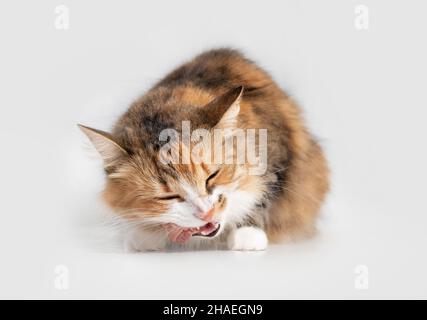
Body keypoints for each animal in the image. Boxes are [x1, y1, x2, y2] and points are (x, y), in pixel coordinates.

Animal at [77, 48, 332, 251]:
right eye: (168, 196)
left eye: (212, 176)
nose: (206, 213)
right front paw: (145, 236)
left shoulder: (278, 152)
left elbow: (266, 195)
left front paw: (247, 236)